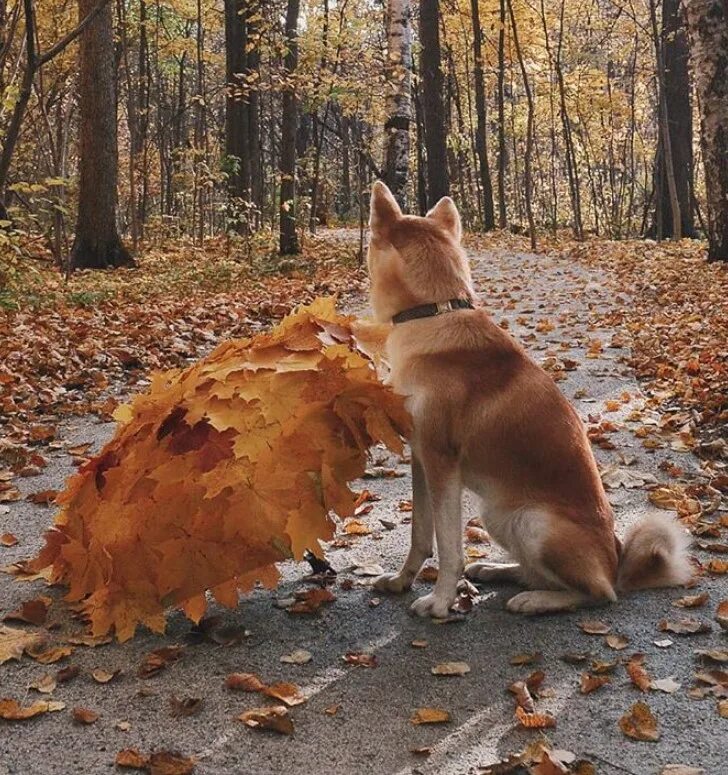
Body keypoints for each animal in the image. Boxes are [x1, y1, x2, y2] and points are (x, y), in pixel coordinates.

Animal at [366, 180, 692, 620]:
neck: (434, 312)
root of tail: (617, 562)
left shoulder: (441, 464)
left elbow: (449, 548)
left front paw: (441, 601)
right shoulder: (420, 459)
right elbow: (420, 535)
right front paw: (403, 580)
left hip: (533, 523)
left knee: (597, 593)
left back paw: (536, 600)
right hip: (497, 516)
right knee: (539, 574)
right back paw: (498, 570)